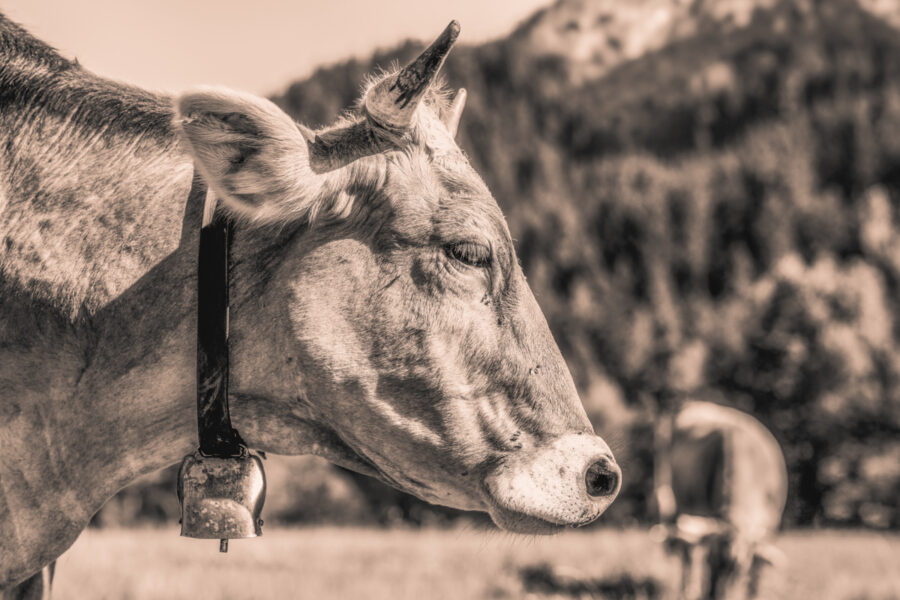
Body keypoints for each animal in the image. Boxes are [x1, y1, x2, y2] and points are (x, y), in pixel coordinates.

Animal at [652, 400, 788, 596]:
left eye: (739, 569)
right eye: (712, 562)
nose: (715, 595)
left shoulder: (770, 525)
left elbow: (756, 572)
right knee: (688, 555)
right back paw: (687, 590)